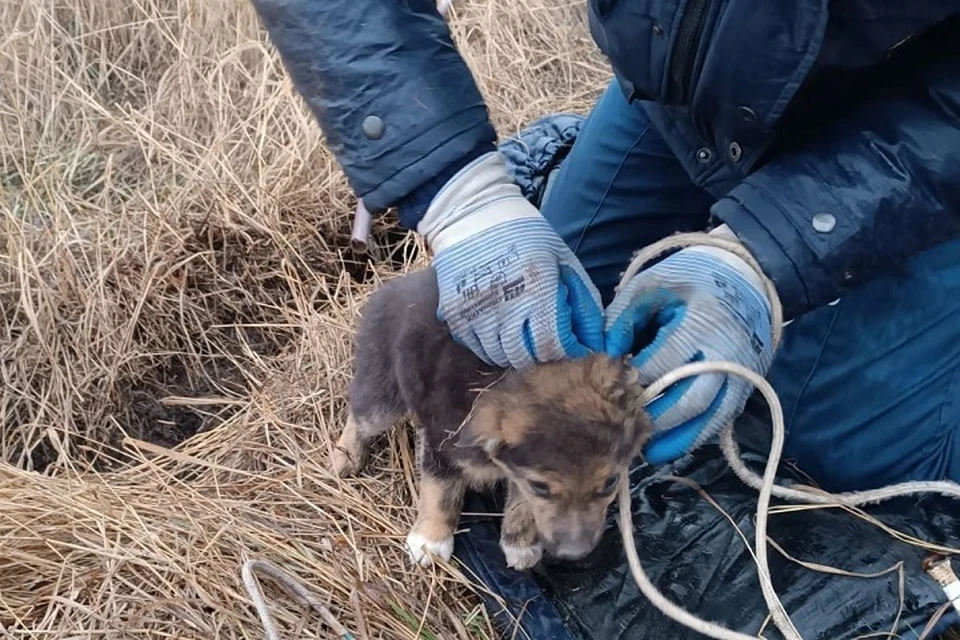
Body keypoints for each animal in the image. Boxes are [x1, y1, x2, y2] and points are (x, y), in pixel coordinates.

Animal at [330, 266, 652, 568]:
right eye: (541, 487)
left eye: (611, 482)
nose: (575, 554)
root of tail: (396, 285)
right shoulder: (442, 443)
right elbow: (439, 492)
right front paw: (430, 540)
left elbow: (522, 505)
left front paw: (519, 543)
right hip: (383, 392)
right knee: (360, 412)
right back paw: (344, 456)